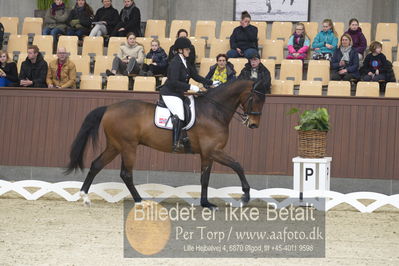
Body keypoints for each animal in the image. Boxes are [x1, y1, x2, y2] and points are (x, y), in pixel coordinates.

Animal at [65, 78, 268, 208]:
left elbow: (205, 178)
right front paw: (245, 196)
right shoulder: (214, 150)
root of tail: (109, 108)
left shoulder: (207, 154)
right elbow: (238, 165)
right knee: (126, 174)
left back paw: (84, 197)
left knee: (96, 164)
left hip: (115, 146)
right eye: (255, 98)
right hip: (128, 146)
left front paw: (206, 203)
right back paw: (141, 201)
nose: (254, 124)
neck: (214, 111)